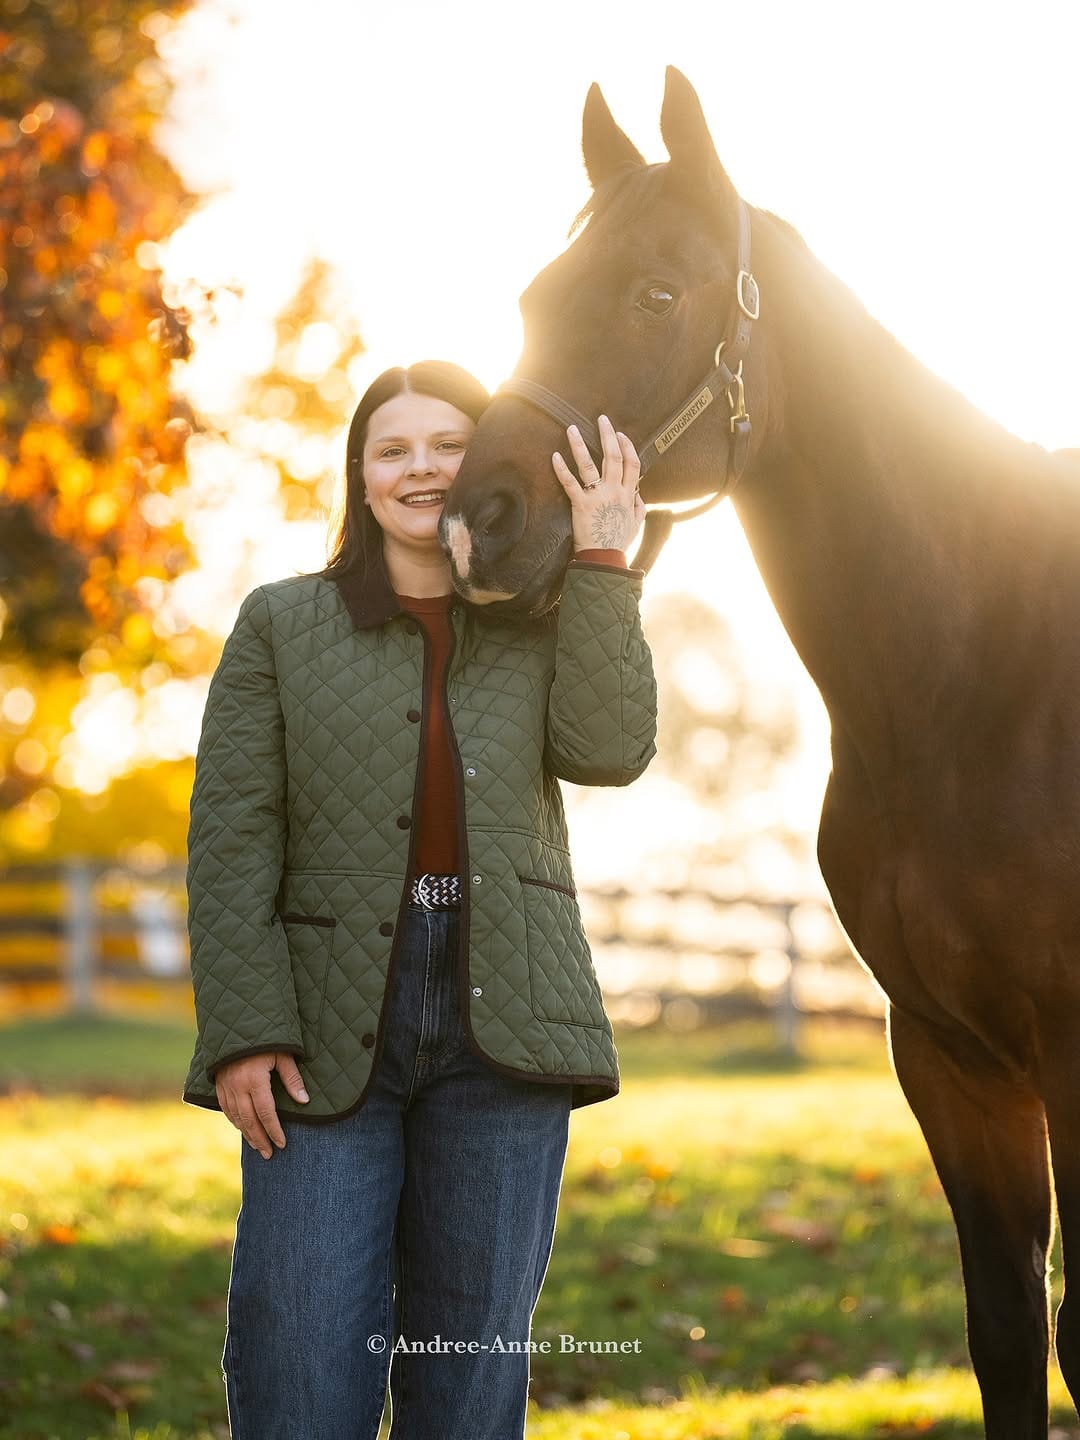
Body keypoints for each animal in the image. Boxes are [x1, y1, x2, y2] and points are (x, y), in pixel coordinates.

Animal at [437, 65, 1080, 1440]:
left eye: (656, 294)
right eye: (532, 299)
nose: (477, 527)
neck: (983, 679)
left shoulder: (1072, 1042)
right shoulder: (948, 1057)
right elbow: (1010, 1333)